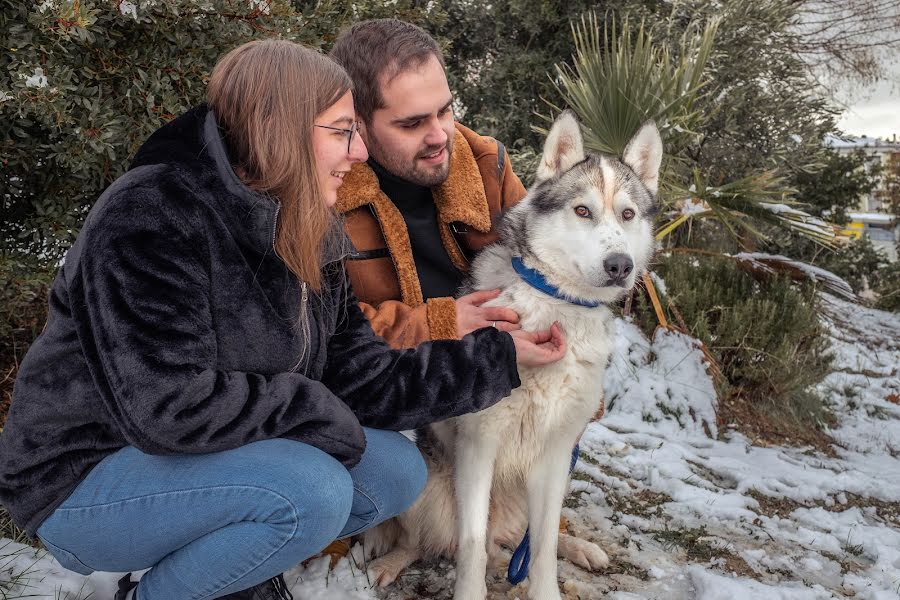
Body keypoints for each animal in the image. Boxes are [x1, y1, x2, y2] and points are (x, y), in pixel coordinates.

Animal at [362, 110, 664, 596]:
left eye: (628, 214)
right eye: (582, 211)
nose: (621, 265)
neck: (558, 305)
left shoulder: (557, 455)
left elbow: (541, 548)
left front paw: (546, 590)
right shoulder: (478, 447)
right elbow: (471, 545)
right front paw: (469, 592)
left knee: (528, 538)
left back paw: (582, 549)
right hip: (426, 491)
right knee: (428, 541)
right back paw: (389, 563)